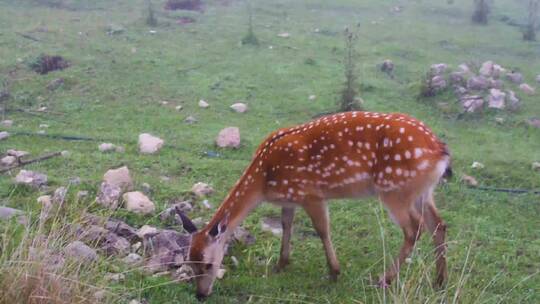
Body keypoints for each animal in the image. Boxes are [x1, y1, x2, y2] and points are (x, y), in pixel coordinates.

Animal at [179, 111, 450, 300]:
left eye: (208, 264)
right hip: (423, 191)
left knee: (414, 228)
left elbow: (322, 230)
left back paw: (384, 279)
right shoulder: (290, 198)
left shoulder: (311, 194)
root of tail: (439, 150)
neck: (264, 180)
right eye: (189, 263)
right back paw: (439, 281)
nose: (200, 295)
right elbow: (286, 224)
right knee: (438, 224)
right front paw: (281, 264)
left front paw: (334, 272)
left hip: (395, 189)